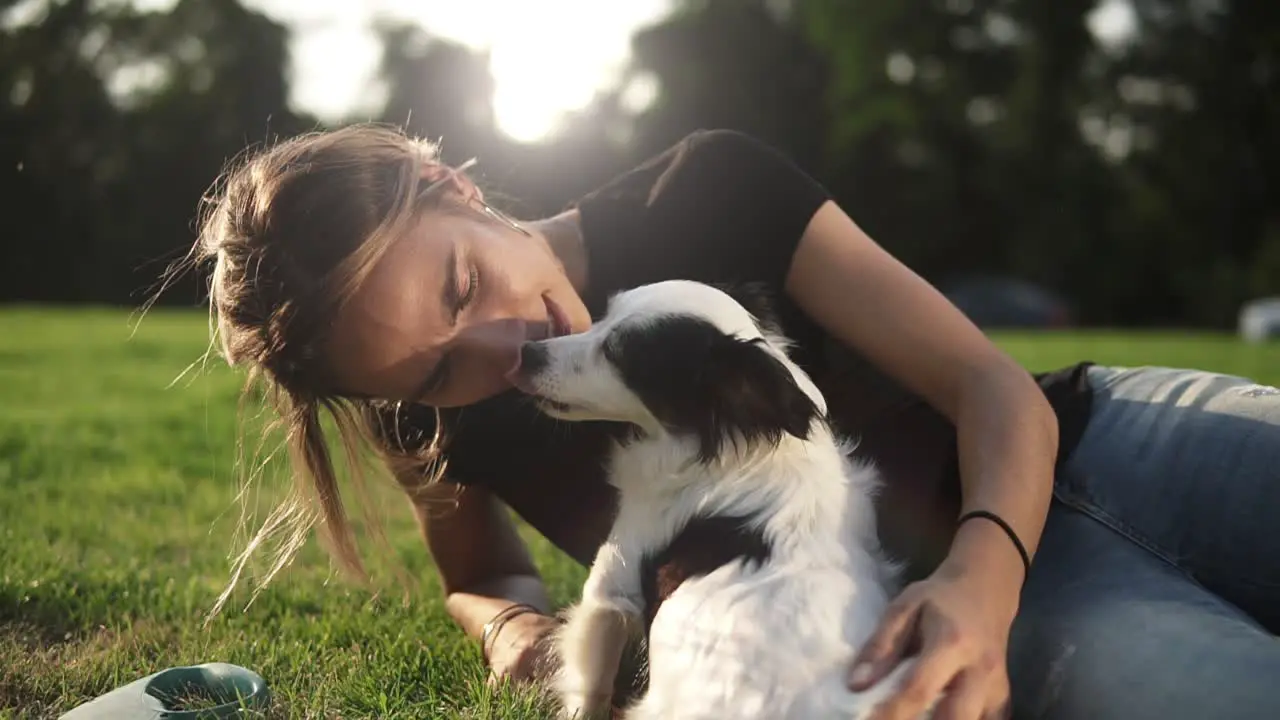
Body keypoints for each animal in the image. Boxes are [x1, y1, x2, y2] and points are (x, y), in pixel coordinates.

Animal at [506, 280, 921, 717]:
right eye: (602, 316)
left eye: (616, 353)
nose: (527, 352)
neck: (736, 448)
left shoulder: (613, 584)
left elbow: (588, 685)